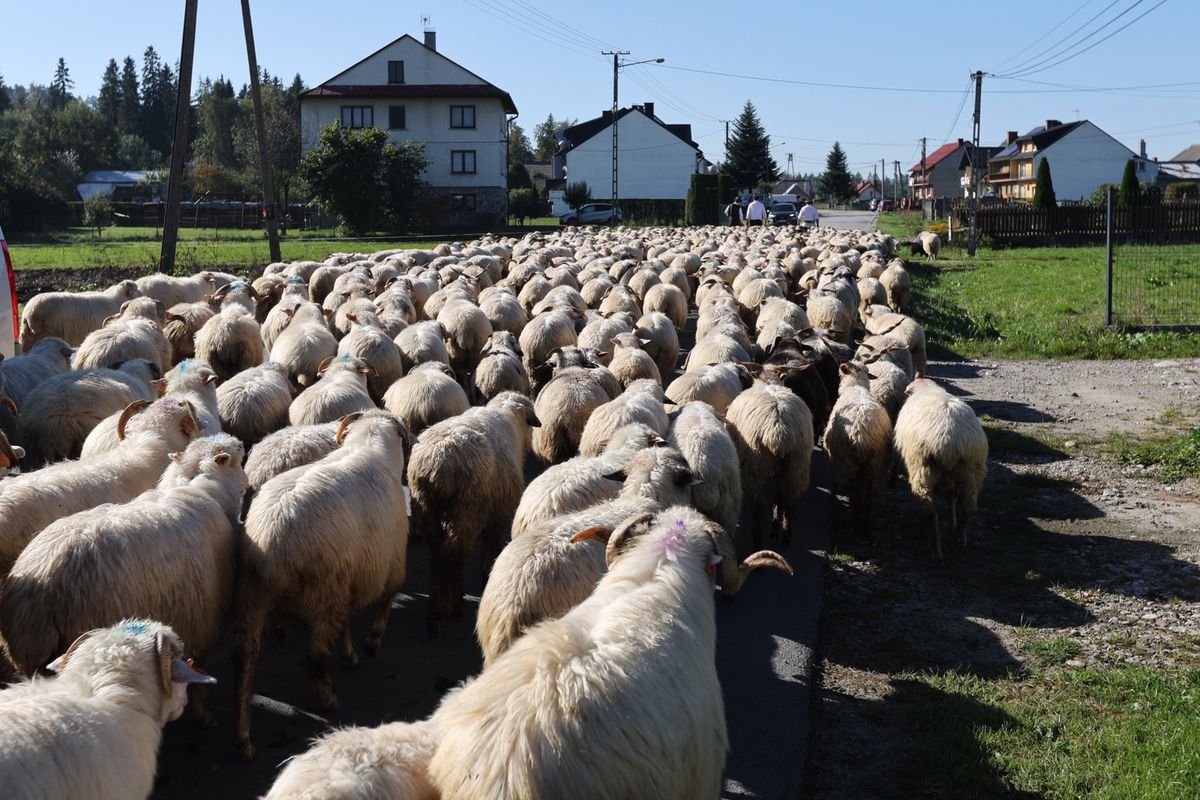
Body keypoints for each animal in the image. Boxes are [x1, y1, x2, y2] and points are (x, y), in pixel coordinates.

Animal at [897, 379, 988, 561]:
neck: (926, 389)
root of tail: (951, 441)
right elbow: (951, 498)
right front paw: (952, 524)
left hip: (922, 465)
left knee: (930, 509)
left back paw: (936, 551)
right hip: (973, 469)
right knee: (967, 504)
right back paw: (960, 538)